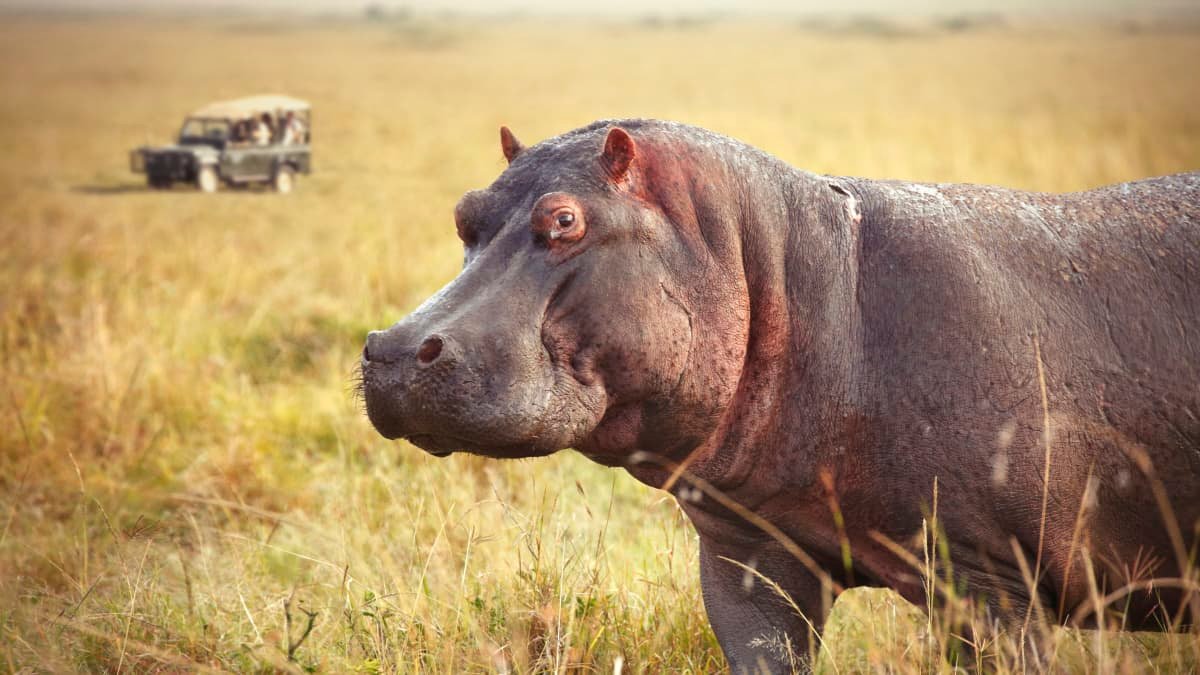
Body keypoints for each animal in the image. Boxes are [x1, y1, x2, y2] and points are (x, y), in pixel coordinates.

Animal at [361, 119, 1200, 672]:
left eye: (565, 218)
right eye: (464, 212)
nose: (395, 349)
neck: (790, 274)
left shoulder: (991, 581)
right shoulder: (750, 552)